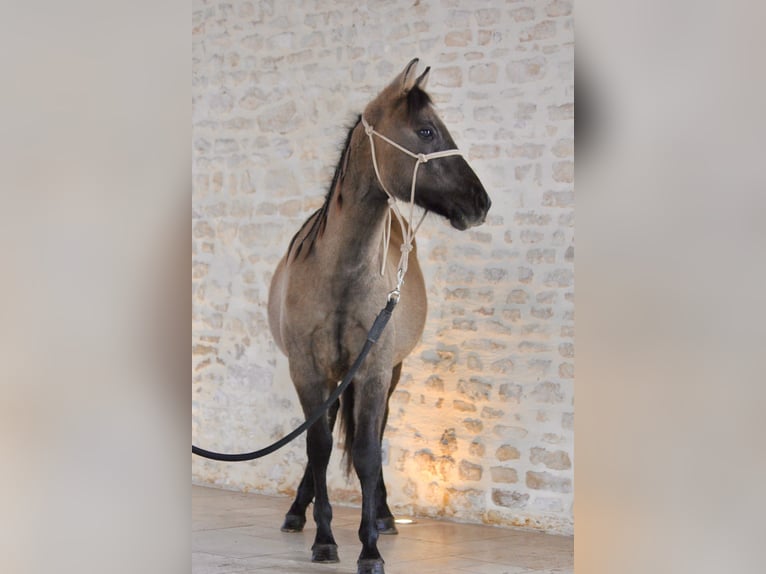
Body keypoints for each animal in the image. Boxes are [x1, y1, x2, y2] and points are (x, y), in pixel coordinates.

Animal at [267, 58, 491, 574]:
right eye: (427, 130)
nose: (481, 203)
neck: (340, 273)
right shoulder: (307, 371)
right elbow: (318, 446)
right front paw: (324, 538)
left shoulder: (371, 371)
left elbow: (368, 451)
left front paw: (369, 547)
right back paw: (297, 511)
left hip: (391, 371)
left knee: (378, 430)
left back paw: (386, 515)